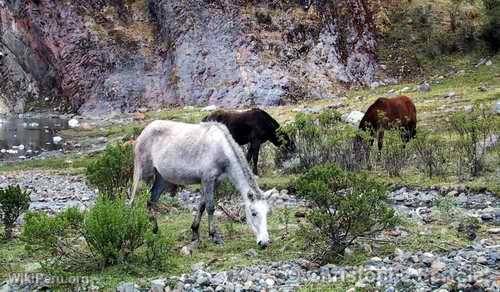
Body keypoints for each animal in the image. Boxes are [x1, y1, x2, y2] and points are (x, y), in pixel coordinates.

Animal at [128, 120, 270, 248]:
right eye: (253, 213)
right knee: (133, 201)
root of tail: (143, 133)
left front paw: (195, 232)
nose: (264, 243)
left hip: (161, 178)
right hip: (143, 175)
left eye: (267, 213)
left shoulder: (214, 182)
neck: (221, 149)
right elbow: (210, 207)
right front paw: (214, 236)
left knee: (151, 201)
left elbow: (202, 205)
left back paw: (155, 231)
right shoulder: (208, 179)